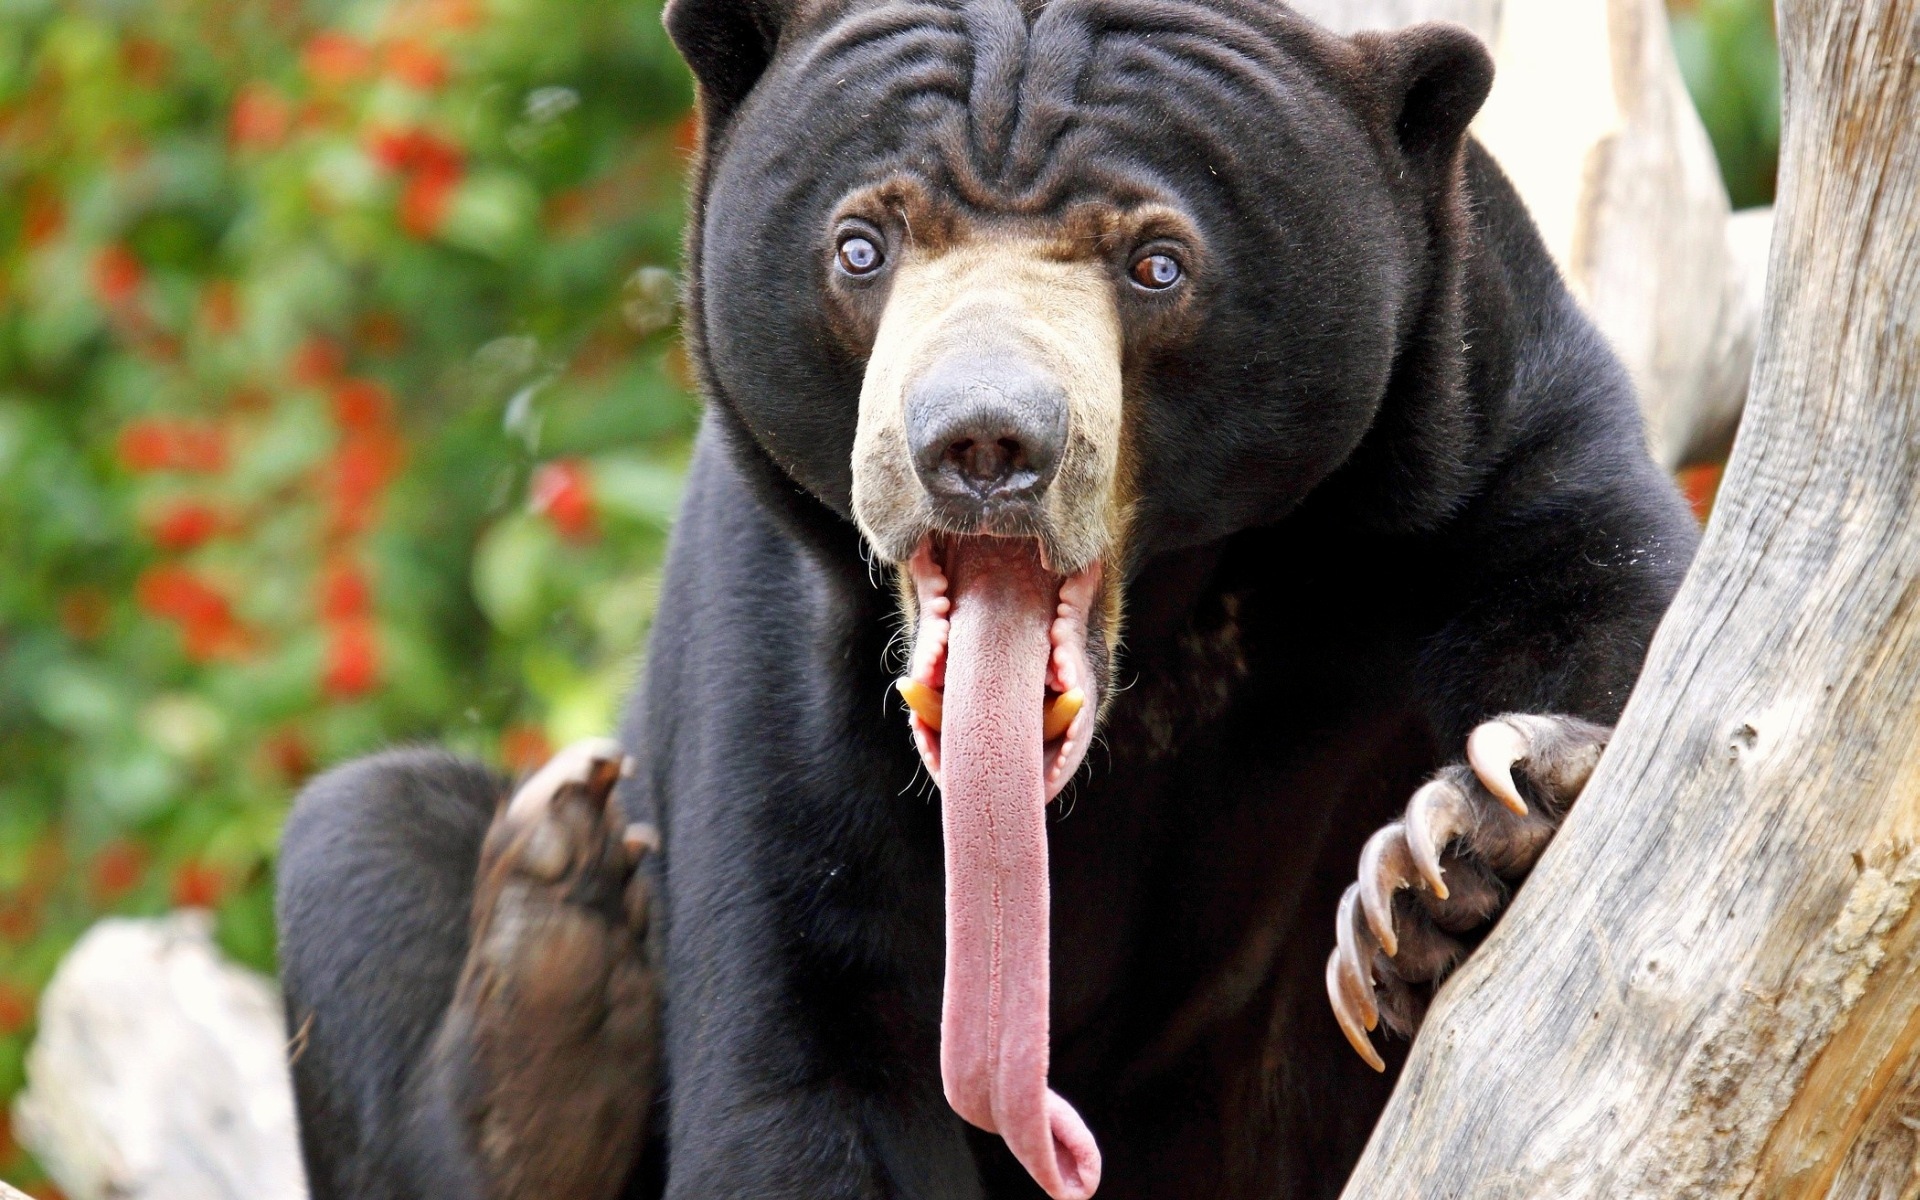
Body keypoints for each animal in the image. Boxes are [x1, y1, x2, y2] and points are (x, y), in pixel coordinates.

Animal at [273, 1, 1700, 1197]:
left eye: (1158, 264)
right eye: (861, 245)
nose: (980, 444)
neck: (1173, 620)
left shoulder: (1483, 425)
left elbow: (1608, 618)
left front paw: (1457, 851)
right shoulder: (778, 632)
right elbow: (803, 1040)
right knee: (366, 835)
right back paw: (553, 957)